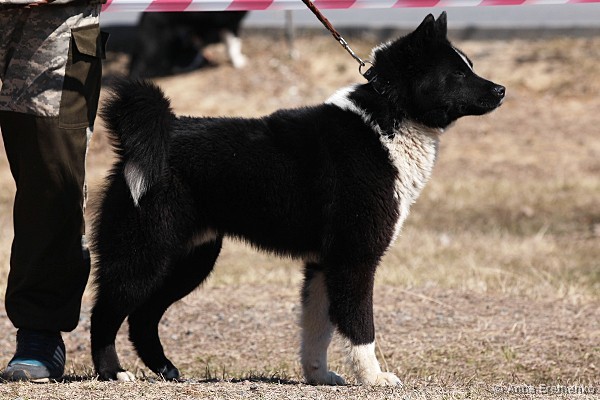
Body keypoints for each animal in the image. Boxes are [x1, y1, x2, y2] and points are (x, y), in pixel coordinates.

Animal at [90, 12, 505, 385]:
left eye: (470, 66)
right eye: (458, 73)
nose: (501, 90)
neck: (390, 117)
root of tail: (148, 137)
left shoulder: (322, 264)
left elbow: (316, 331)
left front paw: (318, 376)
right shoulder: (353, 260)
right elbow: (360, 328)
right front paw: (373, 378)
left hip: (189, 261)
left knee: (142, 318)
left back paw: (165, 369)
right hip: (145, 256)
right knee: (104, 313)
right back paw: (113, 371)